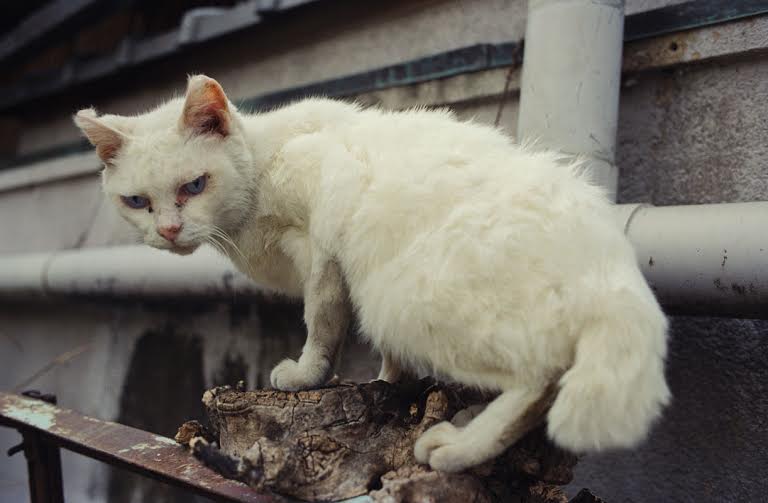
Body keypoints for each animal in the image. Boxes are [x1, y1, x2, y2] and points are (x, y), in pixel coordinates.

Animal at [75, 74, 668, 472]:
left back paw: (457, 449)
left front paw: (307, 375)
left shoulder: (322, 251)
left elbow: (322, 324)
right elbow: (384, 359)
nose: (169, 231)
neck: (261, 168)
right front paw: (388, 384)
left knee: (539, 379)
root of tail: (614, 271)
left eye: (194, 186)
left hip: (398, 296)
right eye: (137, 201)